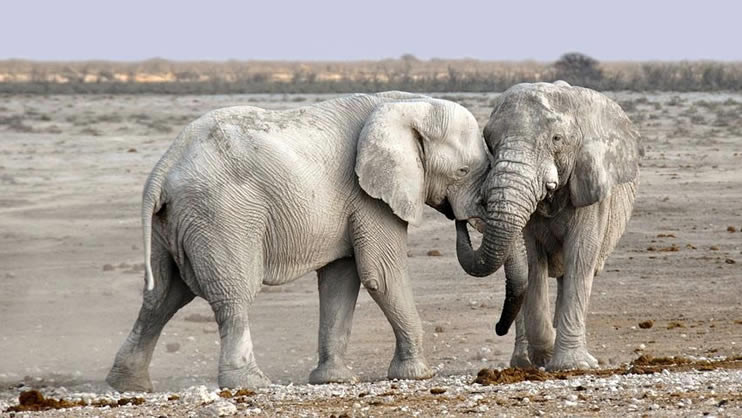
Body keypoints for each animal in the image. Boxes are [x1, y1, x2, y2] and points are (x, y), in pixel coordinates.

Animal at [104, 91, 492, 392]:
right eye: (462, 171)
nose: (462, 220)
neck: (408, 104)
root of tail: (165, 165)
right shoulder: (369, 196)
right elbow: (381, 274)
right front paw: (418, 374)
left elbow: (340, 279)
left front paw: (334, 380)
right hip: (221, 215)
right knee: (232, 294)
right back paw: (251, 384)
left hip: (174, 223)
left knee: (162, 296)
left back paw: (128, 385)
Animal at [456, 81, 644, 370]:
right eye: (489, 141)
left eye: (557, 139)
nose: (498, 328)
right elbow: (533, 262)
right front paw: (545, 355)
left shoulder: (590, 186)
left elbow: (581, 256)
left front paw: (572, 365)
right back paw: (523, 362)